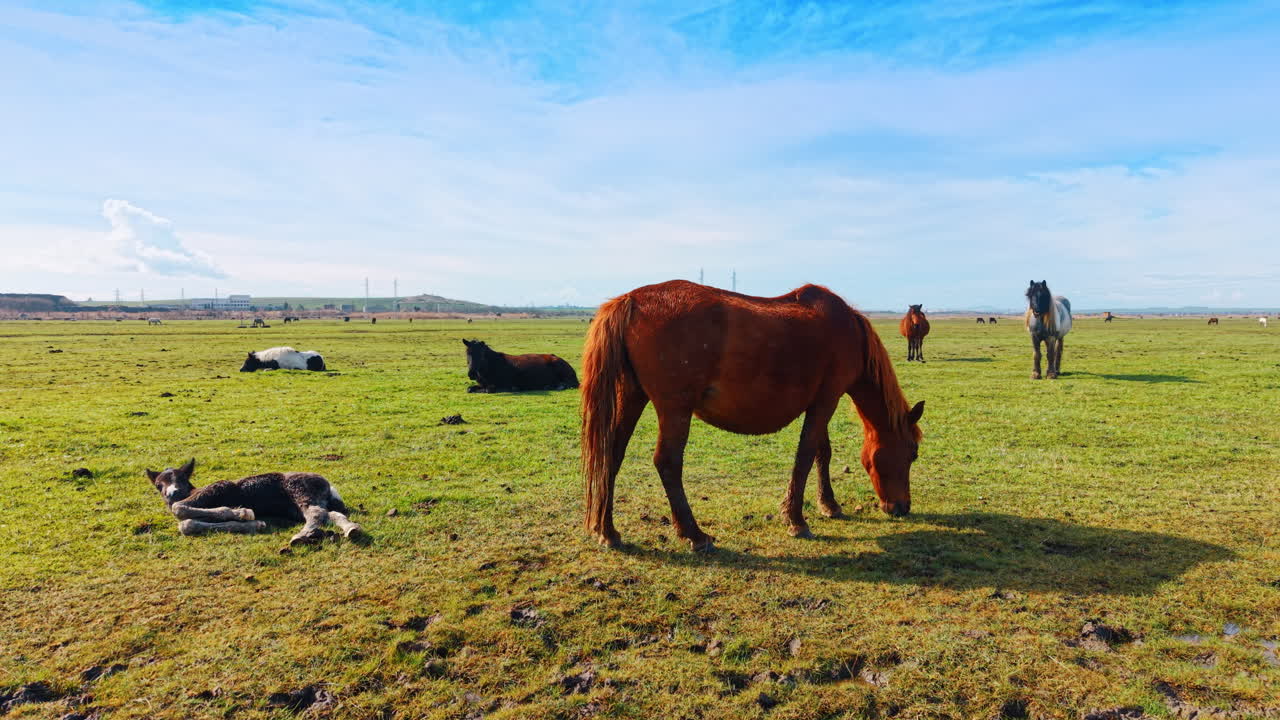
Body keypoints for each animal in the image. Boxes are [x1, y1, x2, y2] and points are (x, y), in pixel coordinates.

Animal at [146, 459, 362, 545]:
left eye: (182, 478)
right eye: (158, 485)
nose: (172, 493)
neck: (191, 492)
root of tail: (327, 484)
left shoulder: (217, 488)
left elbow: (181, 512)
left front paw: (243, 513)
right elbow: (189, 524)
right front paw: (253, 523)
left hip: (300, 493)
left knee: (317, 513)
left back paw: (301, 536)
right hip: (300, 506)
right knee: (330, 513)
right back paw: (351, 529)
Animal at [580, 280, 924, 551]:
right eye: (913, 453)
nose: (902, 507)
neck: (848, 329)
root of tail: (631, 300)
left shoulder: (821, 402)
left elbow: (820, 454)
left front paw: (829, 505)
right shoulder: (827, 401)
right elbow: (806, 455)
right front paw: (796, 520)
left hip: (632, 397)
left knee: (611, 456)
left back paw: (608, 532)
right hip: (674, 409)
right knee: (667, 462)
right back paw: (695, 534)